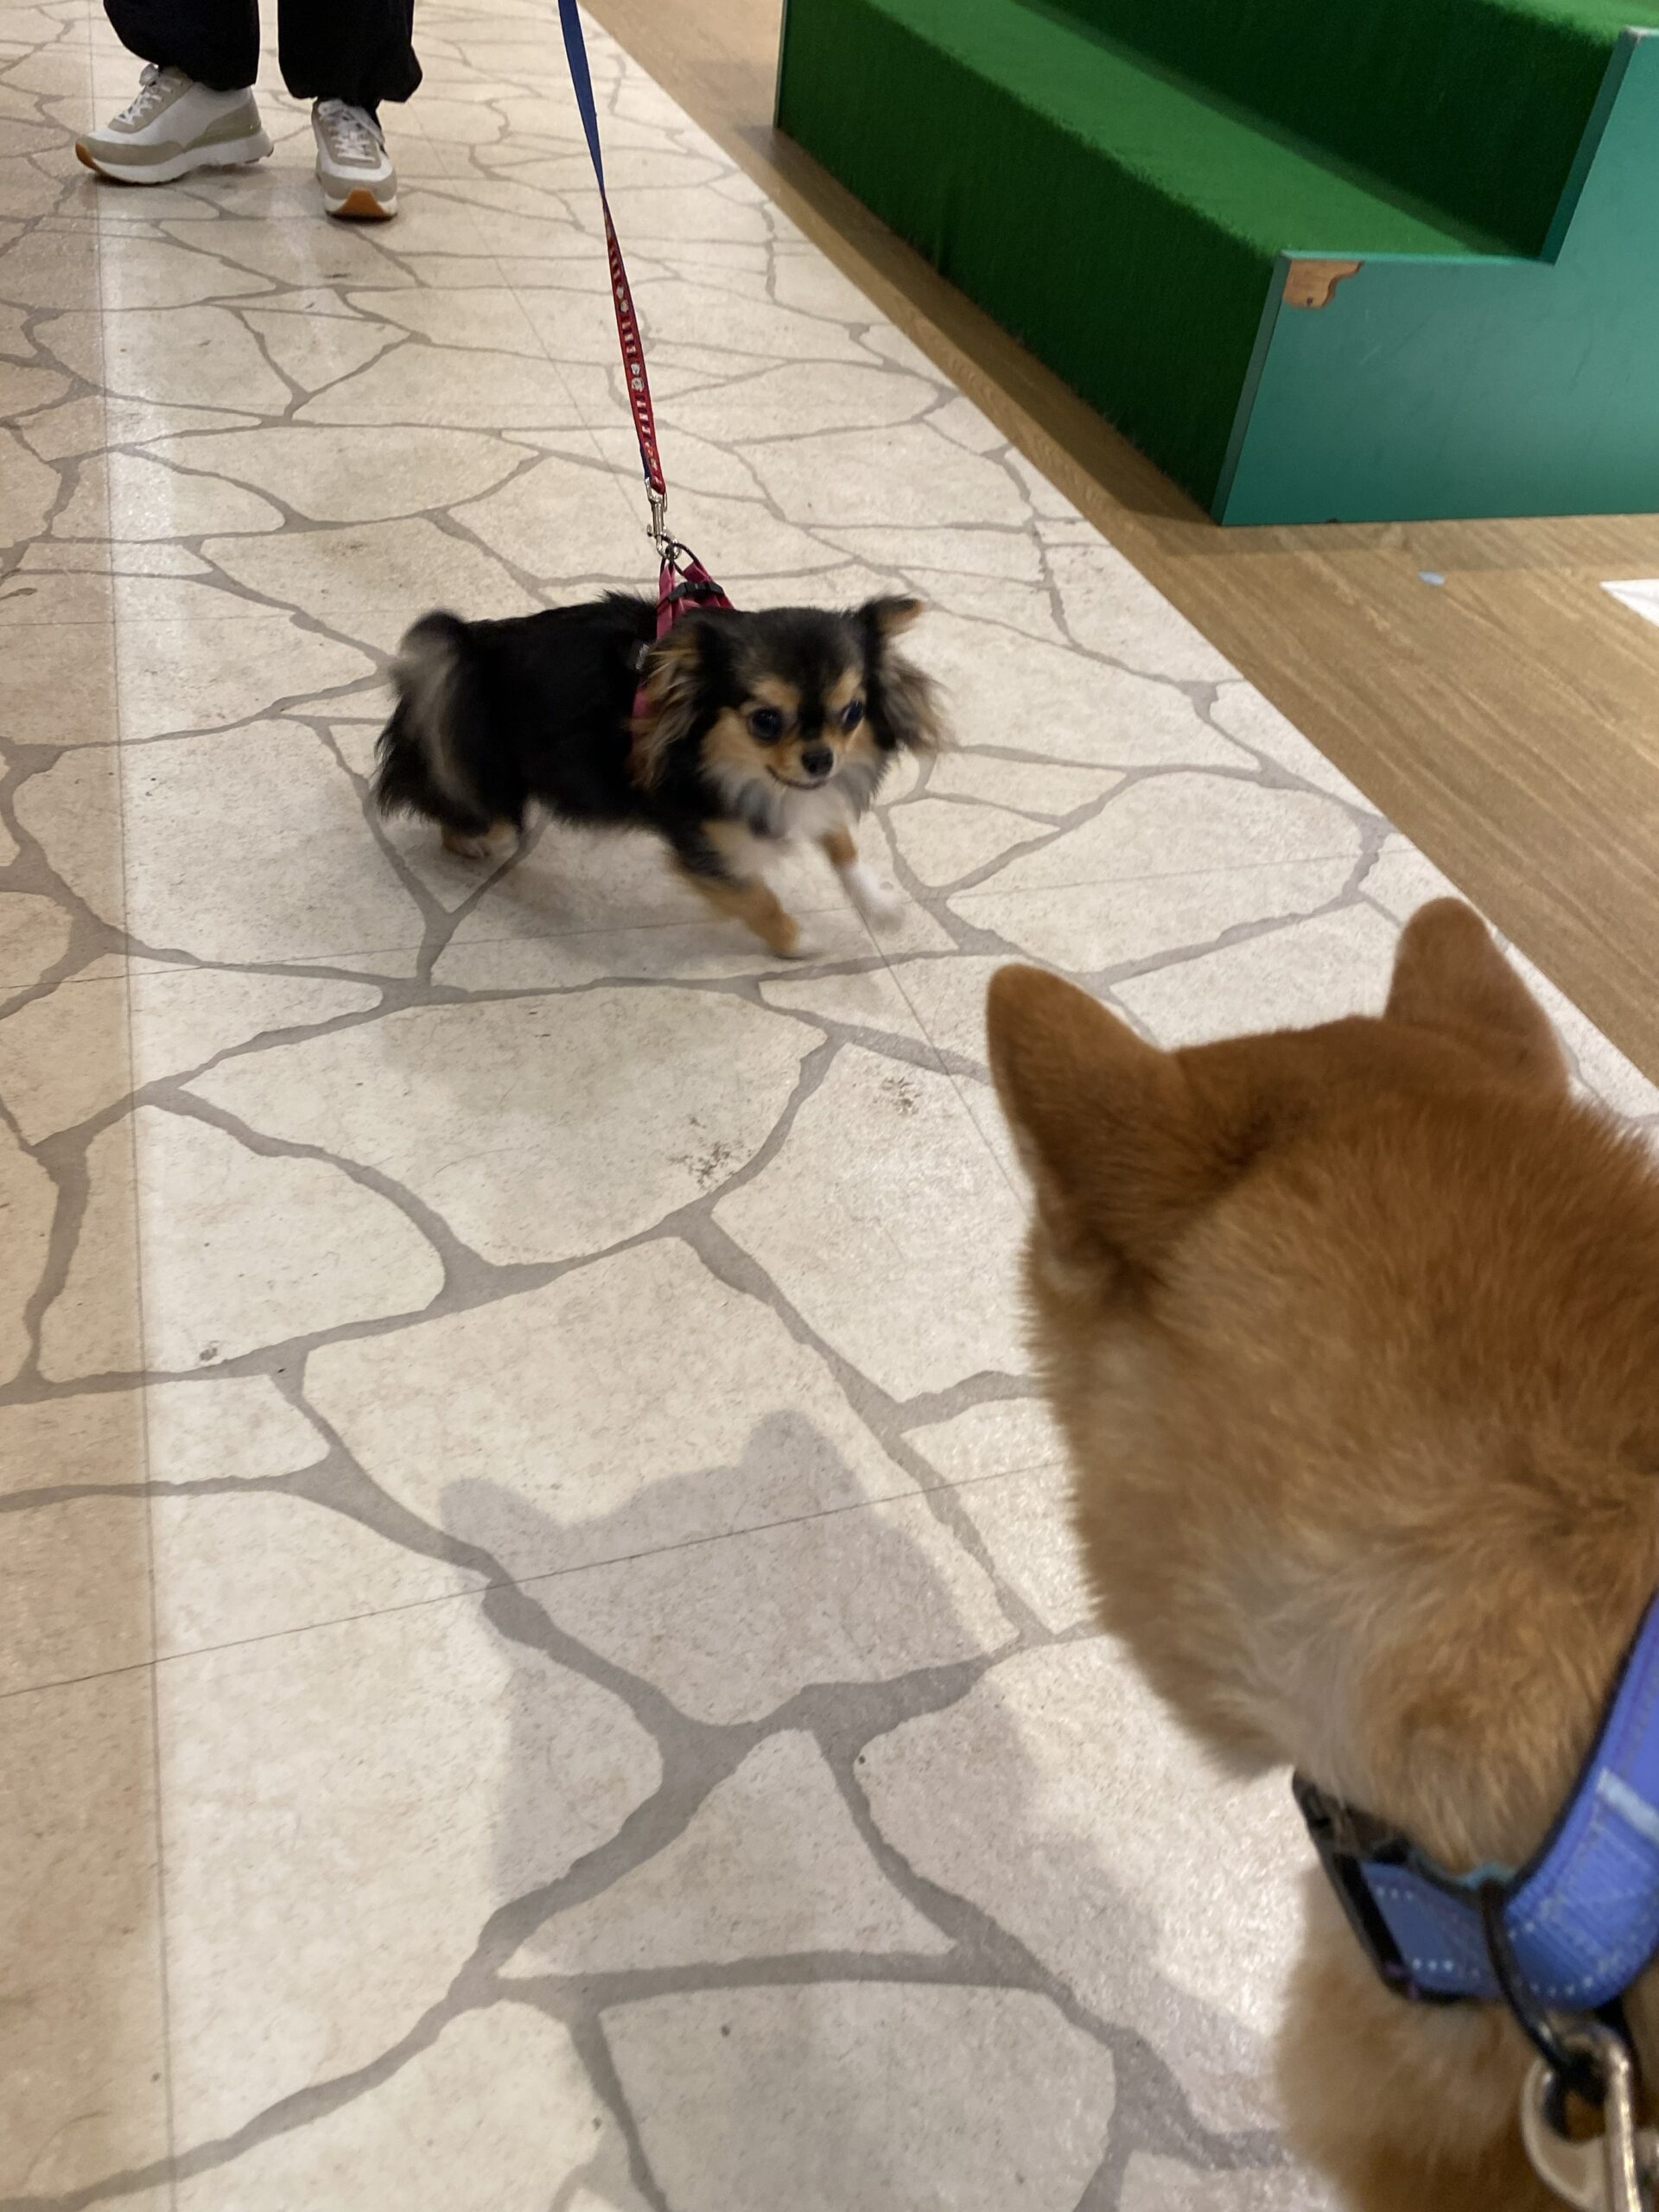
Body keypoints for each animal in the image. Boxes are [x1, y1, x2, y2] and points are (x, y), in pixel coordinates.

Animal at [373, 590, 942, 957]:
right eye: (765, 720)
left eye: (852, 713)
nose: (821, 758)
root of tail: (473, 647)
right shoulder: (700, 843)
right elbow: (756, 898)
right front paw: (802, 942)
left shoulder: (802, 796)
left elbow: (842, 844)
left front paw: (879, 905)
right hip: (484, 781)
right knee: (454, 807)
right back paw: (467, 841)